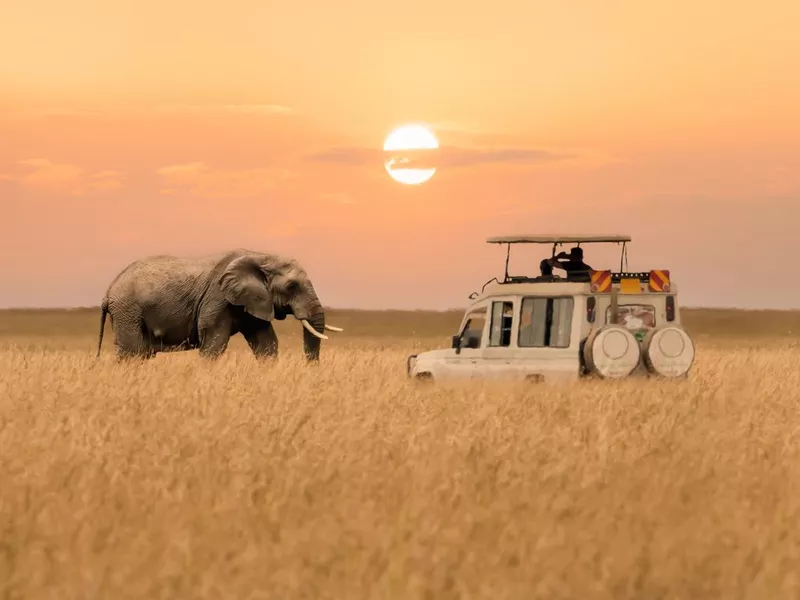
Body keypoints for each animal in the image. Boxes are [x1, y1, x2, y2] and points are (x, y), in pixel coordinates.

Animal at [95, 248, 342, 360]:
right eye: (291, 286)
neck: (261, 256)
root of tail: (108, 291)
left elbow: (266, 344)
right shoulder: (217, 299)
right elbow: (214, 343)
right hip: (128, 310)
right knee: (133, 353)